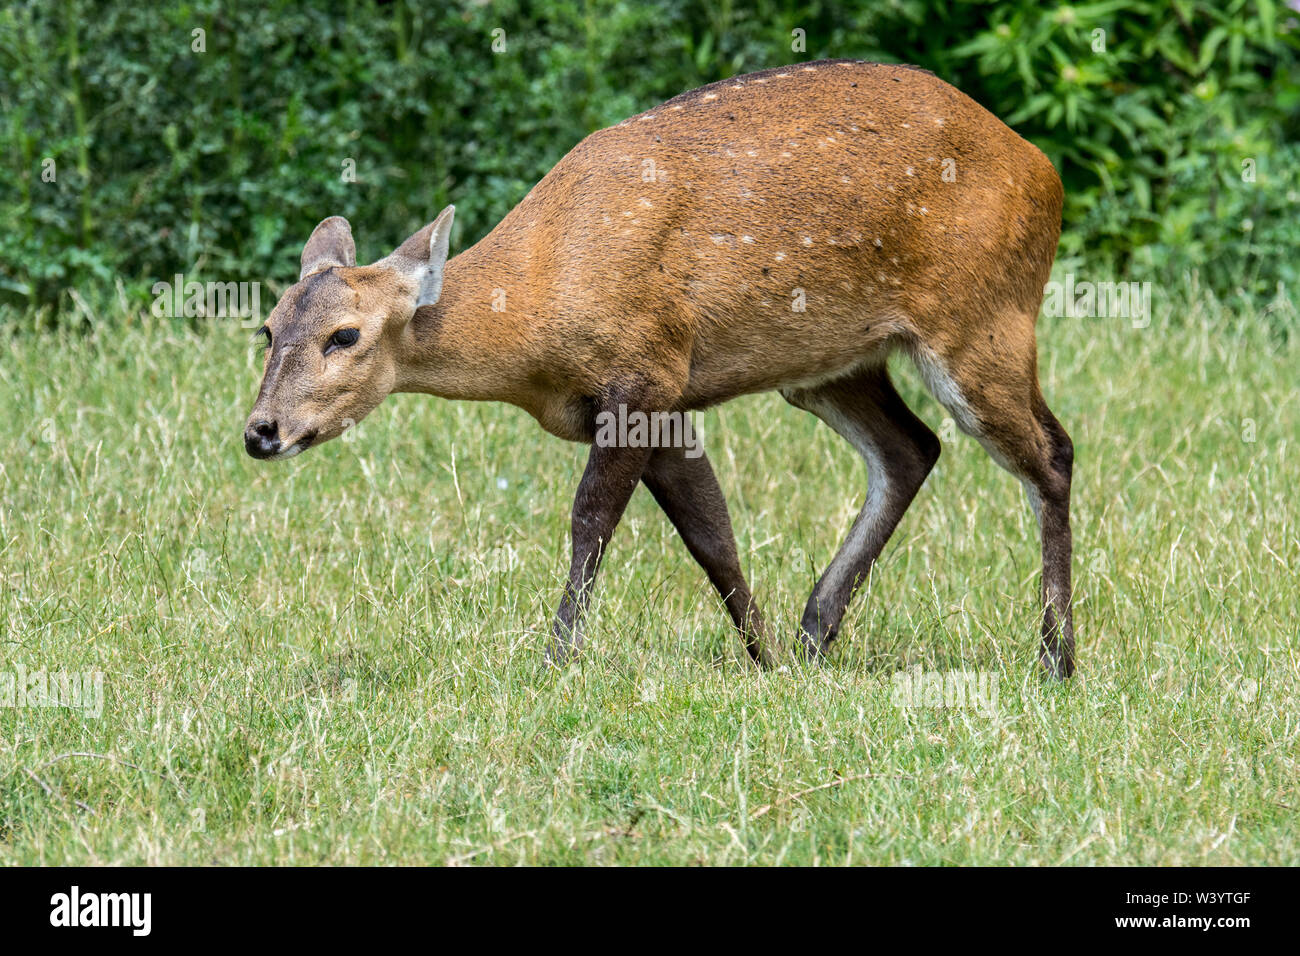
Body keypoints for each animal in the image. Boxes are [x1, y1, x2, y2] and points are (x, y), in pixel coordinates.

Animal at [244, 59, 1076, 676]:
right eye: (268, 327)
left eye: (345, 336)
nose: (260, 431)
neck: (539, 303)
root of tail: (1048, 173)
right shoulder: (663, 399)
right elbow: (712, 533)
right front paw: (765, 659)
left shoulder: (646, 369)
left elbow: (592, 520)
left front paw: (555, 661)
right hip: (830, 365)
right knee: (912, 449)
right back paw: (815, 634)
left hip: (982, 320)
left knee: (1051, 452)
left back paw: (1056, 659)